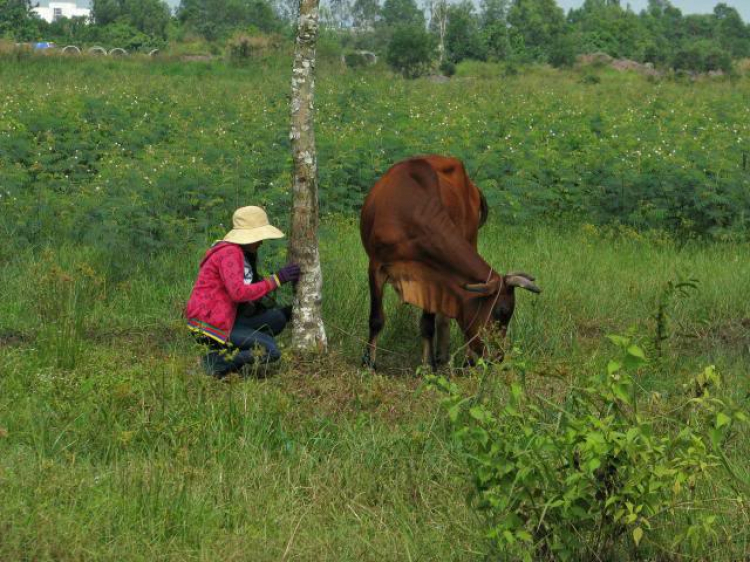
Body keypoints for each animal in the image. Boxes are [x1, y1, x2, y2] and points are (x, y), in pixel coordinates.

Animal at [362, 156, 544, 368]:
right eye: (502, 311)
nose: (498, 356)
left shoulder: (431, 278)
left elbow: (427, 324)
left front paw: (427, 365)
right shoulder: (376, 266)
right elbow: (376, 319)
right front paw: (368, 362)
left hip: (471, 238)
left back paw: (455, 357)